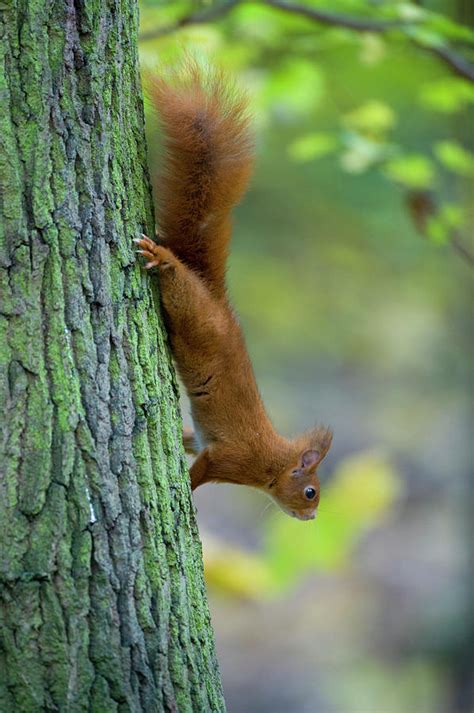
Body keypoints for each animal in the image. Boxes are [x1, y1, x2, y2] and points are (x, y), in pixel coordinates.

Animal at [135, 64, 332, 520]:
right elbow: (200, 471)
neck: (272, 462)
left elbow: (192, 439)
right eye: (310, 492)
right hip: (192, 313)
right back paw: (162, 258)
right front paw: (187, 497)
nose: (312, 517)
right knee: (177, 280)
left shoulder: (206, 441)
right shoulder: (231, 457)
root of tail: (218, 302)